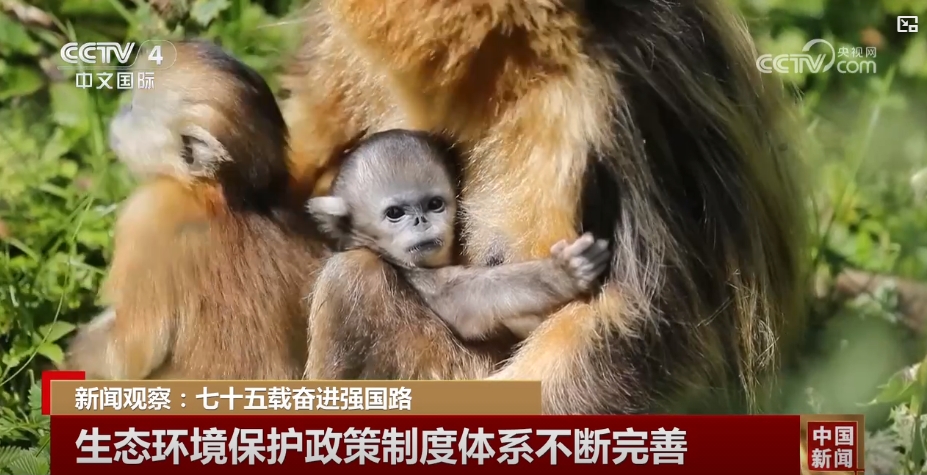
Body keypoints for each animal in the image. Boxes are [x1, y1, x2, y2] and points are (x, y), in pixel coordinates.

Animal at [304, 128, 611, 341]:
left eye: (434, 204)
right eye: (394, 213)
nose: (421, 221)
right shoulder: (410, 273)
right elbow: (462, 301)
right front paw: (562, 272)